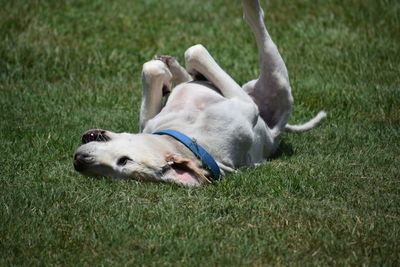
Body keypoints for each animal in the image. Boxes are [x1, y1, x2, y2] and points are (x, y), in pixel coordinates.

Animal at [73, 0, 326, 187]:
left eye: (124, 160)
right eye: (107, 172)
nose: (79, 161)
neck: (187, 135)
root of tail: (276, 131)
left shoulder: (150, 123)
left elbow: (161, 65)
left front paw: (167, 73)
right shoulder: (244, 105)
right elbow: (193, 51)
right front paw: (173, 70)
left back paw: (175, 67)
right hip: (277, 81)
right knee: (257, 23)